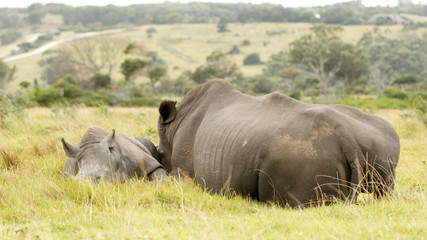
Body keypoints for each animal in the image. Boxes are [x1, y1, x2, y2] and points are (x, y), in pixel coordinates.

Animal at [157, 79, 402, 207]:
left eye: (159, 152)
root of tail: (347, 140)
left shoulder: (181, 170)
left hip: (301, 155)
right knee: (384, 192)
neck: (174, 124)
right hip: (383, 140)